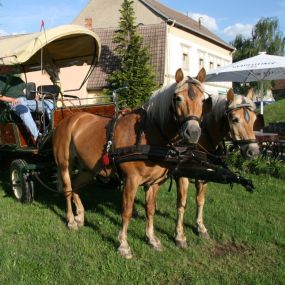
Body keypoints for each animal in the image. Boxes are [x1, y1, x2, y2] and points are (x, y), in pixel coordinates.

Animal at [52, 67, 205, 258]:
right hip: (65, 164)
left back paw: (80, 216)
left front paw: (152, 239)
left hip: (88, 169)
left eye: (203, 99)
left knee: (75, 185)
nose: (193, 133)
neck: (149, 134)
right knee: (67, 188)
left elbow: (150, 210)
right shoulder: (131, 180)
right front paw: (123, 245)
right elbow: (127, 211)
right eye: (178, 98)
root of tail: (68, 120)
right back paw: (71, 220)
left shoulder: (154, 183)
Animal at [173, 88, 260, 246]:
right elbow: (182, 204)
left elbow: (200, 200)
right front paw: (180, 236)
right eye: (235, 119)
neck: (202, 138)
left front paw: (200, 227)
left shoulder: (204, 175)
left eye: (254, 119)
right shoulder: (182, 174)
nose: (254, 152)